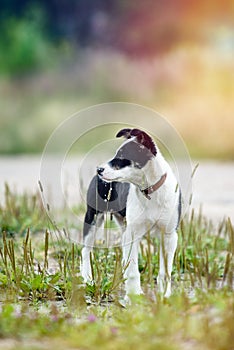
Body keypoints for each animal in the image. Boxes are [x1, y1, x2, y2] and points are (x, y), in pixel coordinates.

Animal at [81, 129, 182, 298]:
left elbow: (165, 271)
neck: (149, 192)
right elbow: (134, 270)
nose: (99, 170)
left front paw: (165, 295)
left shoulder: (169, 236)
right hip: (93, 218)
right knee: (85, 250)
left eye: (123, 157)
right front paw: (134, 296)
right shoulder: (133, 234)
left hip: (123, 227)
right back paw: (88, 279)